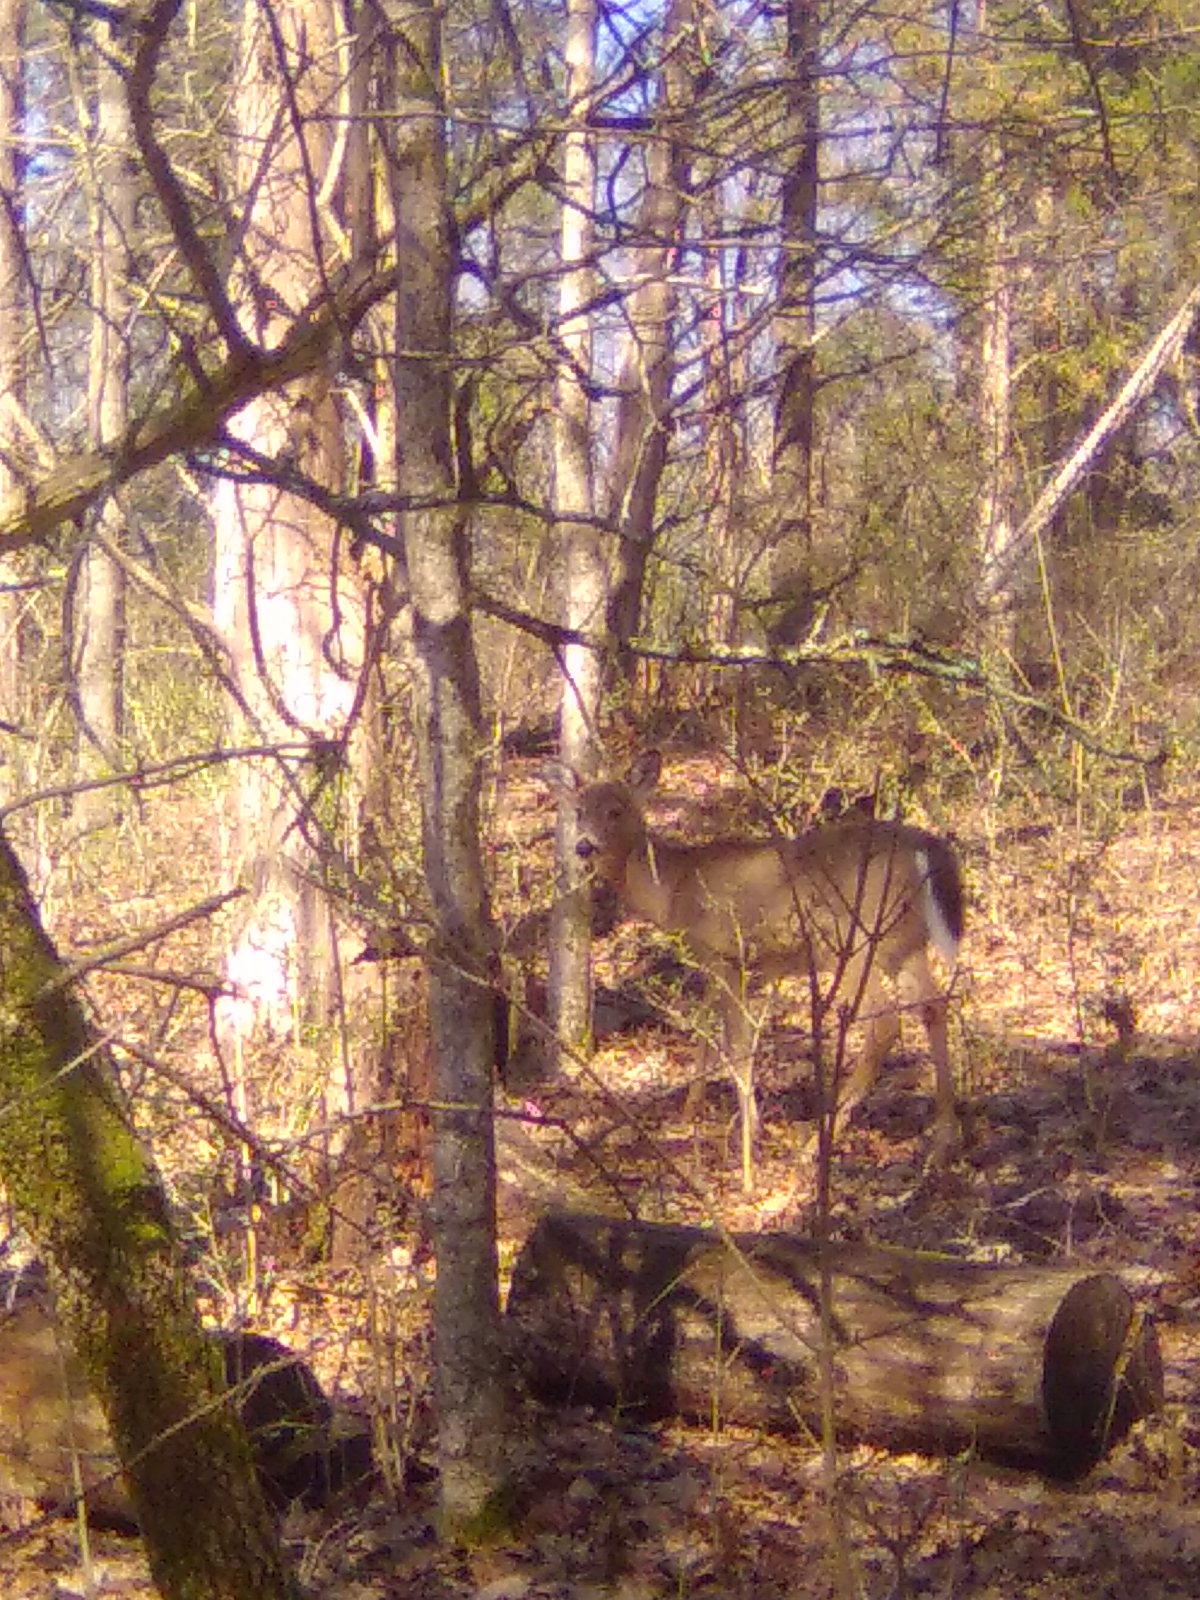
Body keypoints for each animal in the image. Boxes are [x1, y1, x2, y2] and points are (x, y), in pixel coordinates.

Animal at [544, 750, 964, 1189]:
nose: (584, 846)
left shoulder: (723, 955)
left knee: (884, 1024)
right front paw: (692, 1111)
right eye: (578, 811)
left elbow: (737, 1045)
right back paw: (943, 1143)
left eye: (616, 809)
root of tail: (925, 846)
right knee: (934, 1006)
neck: (672, 889)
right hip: (905, 943)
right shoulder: (727, 963)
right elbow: (705, 1031)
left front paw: (750, 1142)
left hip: (852, 942)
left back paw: (815, 1145)